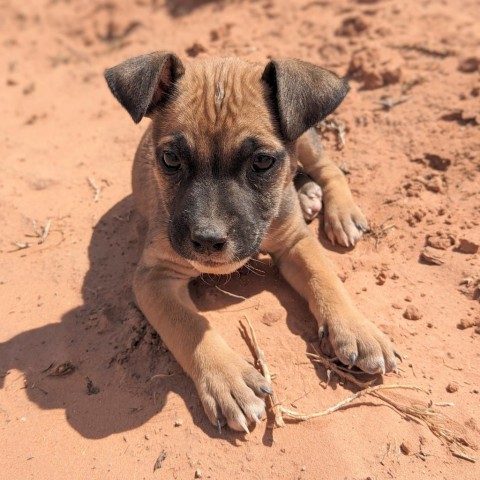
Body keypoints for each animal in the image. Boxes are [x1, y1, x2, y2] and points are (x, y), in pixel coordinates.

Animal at [105, 50, 398, 434]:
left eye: (262, 161)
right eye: (170, 159)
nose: (208, 239)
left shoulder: (295, 242)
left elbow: (325, 277)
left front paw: (357, 329)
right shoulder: (154, 276)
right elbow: (190, 325)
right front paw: (229, 380)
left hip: (305, 137)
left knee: (328, 167)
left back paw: (339, 211)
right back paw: (307, 195)